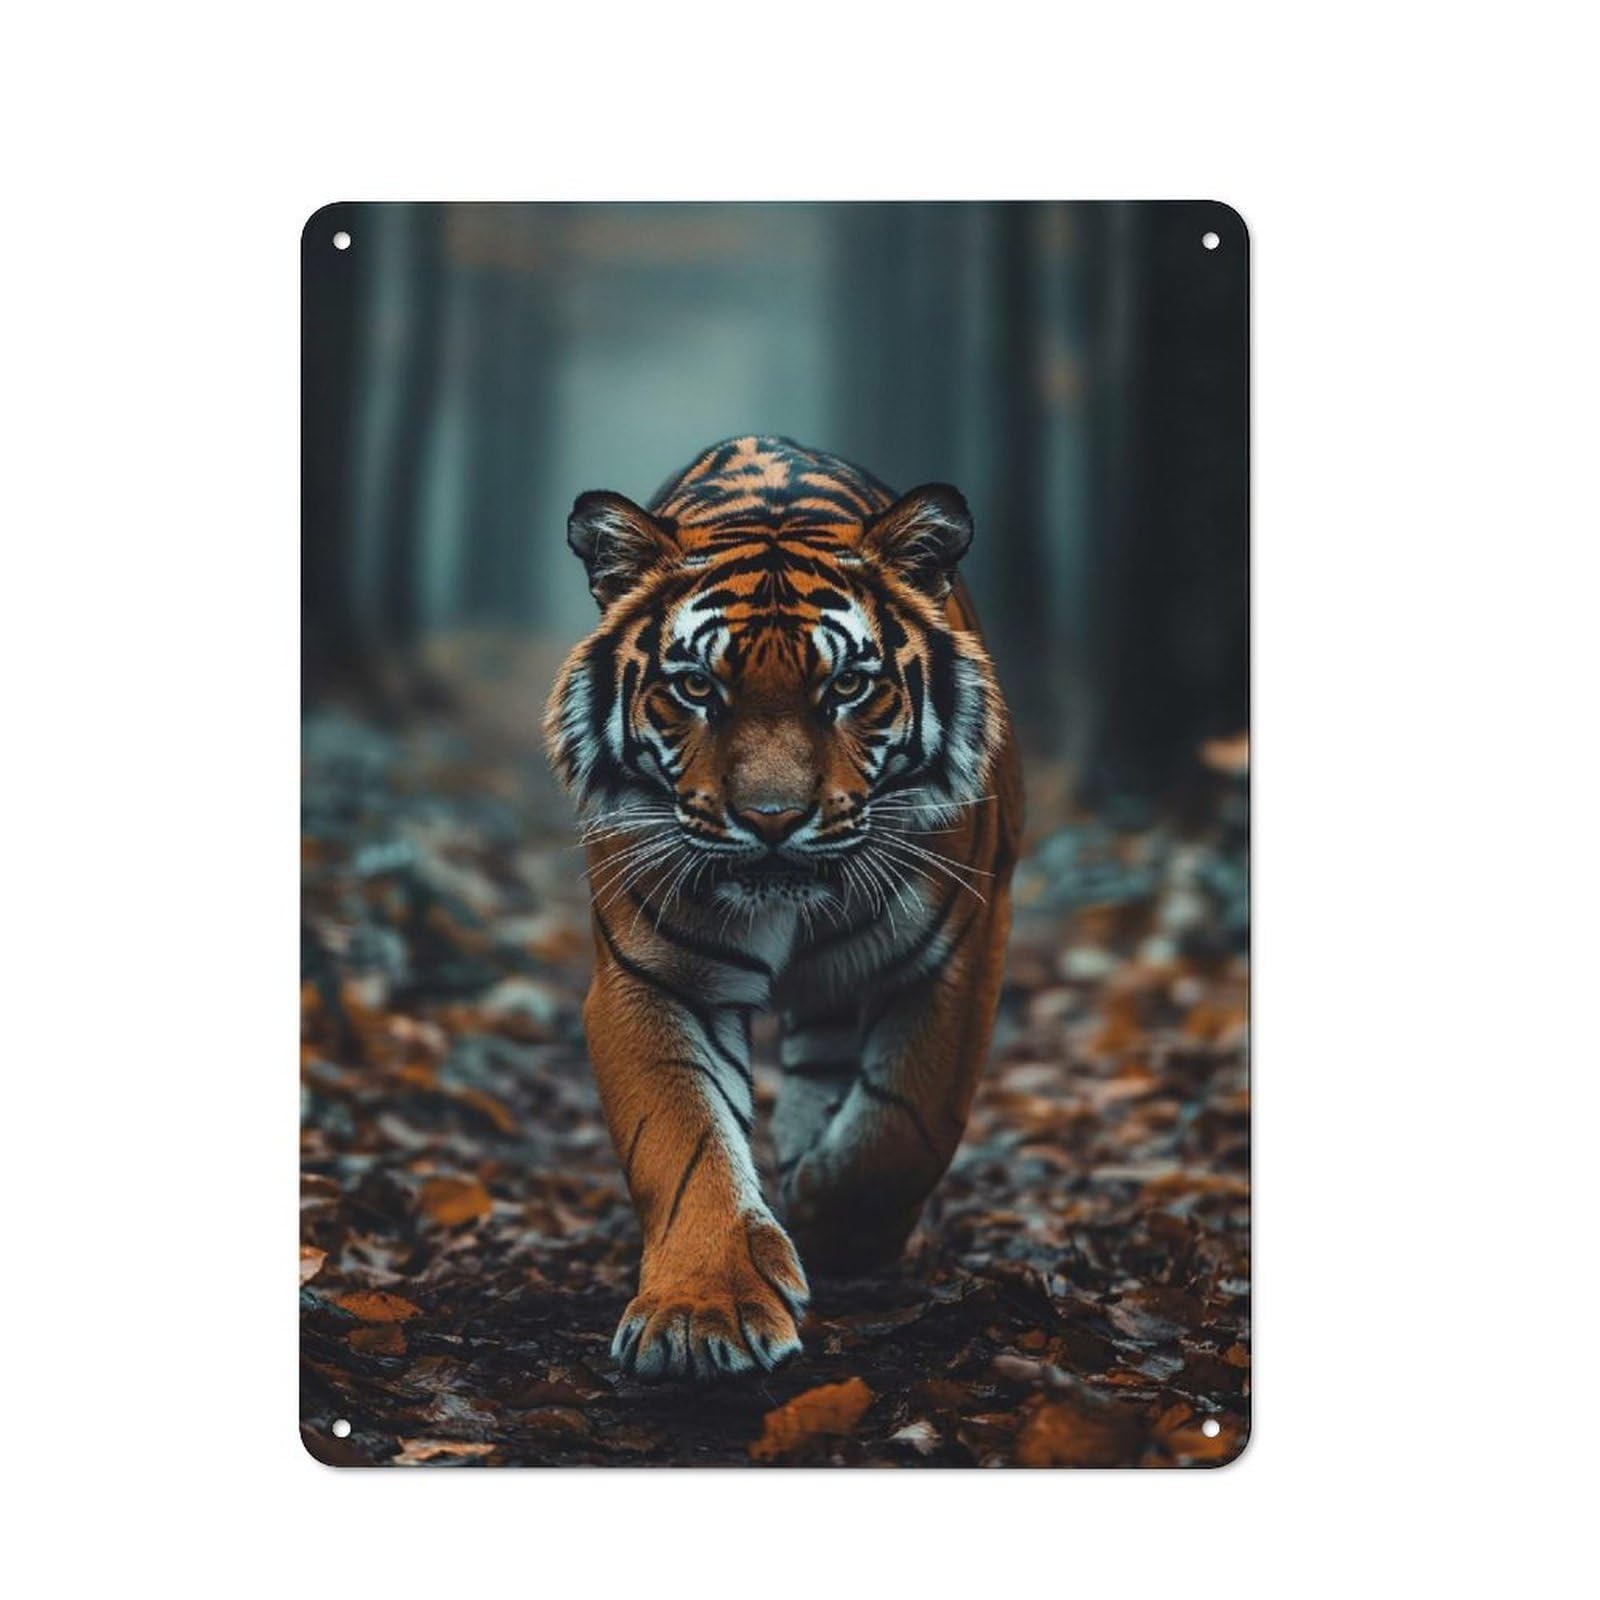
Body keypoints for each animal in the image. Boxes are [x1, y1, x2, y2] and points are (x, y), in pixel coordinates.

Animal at [546, 435, 1022, 1383]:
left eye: (847, 688)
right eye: (696, 687)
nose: (771, 820)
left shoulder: (962, 949)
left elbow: (905, 1124)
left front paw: (837, 1228)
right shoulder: (651, 978)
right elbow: (684, 1140)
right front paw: (703, 1313)